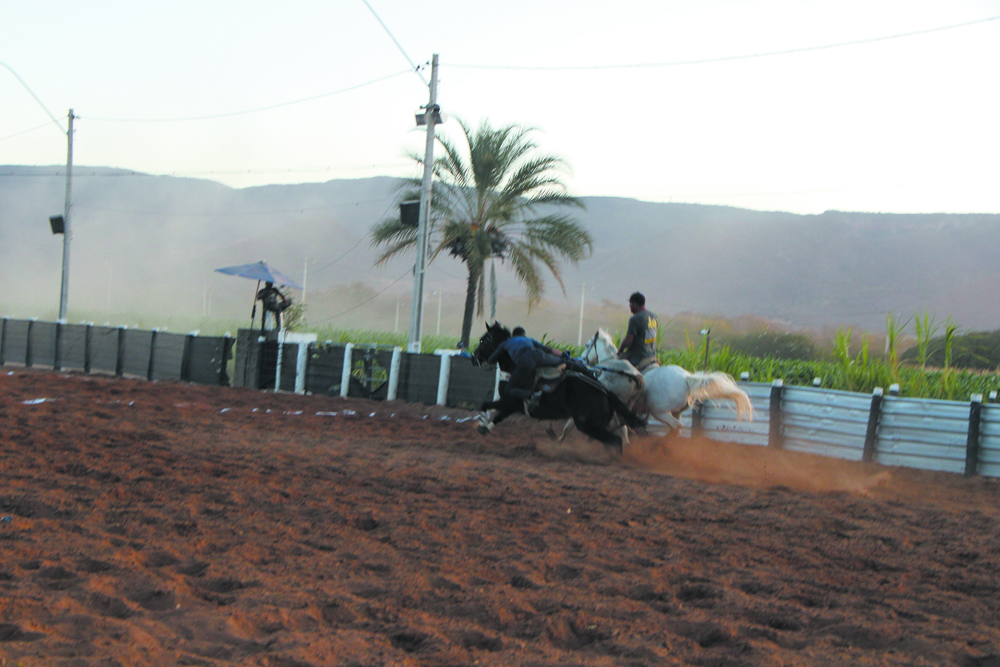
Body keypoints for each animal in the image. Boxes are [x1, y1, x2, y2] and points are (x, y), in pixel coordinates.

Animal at [471, 322, 644, 452]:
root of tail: (604, 391)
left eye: (483, 340)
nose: (473, 358)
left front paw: (483, 424)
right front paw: (484, 427)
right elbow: (495, 415)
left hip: (587, 424)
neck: (512, 367)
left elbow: (486, 406)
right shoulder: (510, 406)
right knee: (616, 434)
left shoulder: (509, 402)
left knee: (616, 439)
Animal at [579, 328, 754, 435]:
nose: (582, 359)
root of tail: (686, 378)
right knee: (676, 428)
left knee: (676, 427)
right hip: (676, 412)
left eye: (587, 345)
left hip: (660, 411)